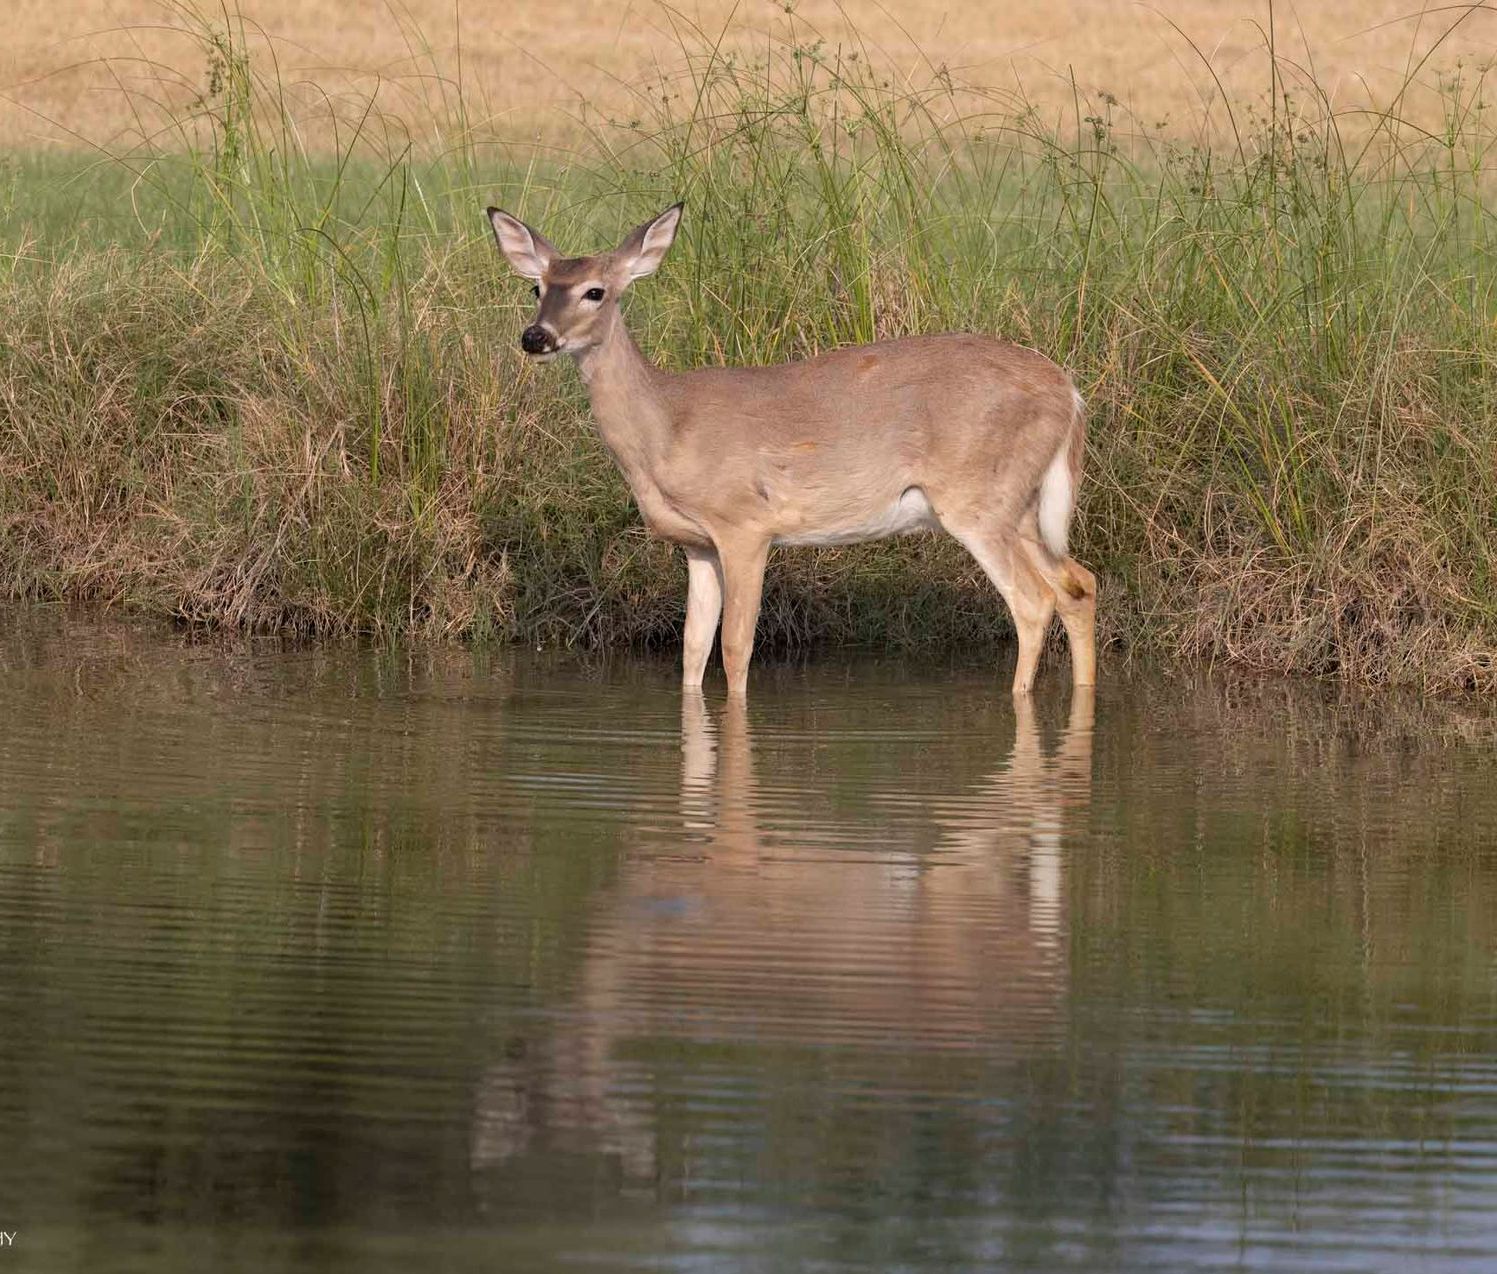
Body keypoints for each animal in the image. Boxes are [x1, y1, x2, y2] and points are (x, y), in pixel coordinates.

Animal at [486, 202, 1097, 697]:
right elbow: (691, 651)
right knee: (1079, 584)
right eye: (537, 287)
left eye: (596, 290)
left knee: (1034, 600)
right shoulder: (697, 545)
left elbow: (735, 649)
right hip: (1023, 505)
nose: (536, 337)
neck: (667, 426)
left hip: (978, 498)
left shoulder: (746, 525)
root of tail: (1068, 392)